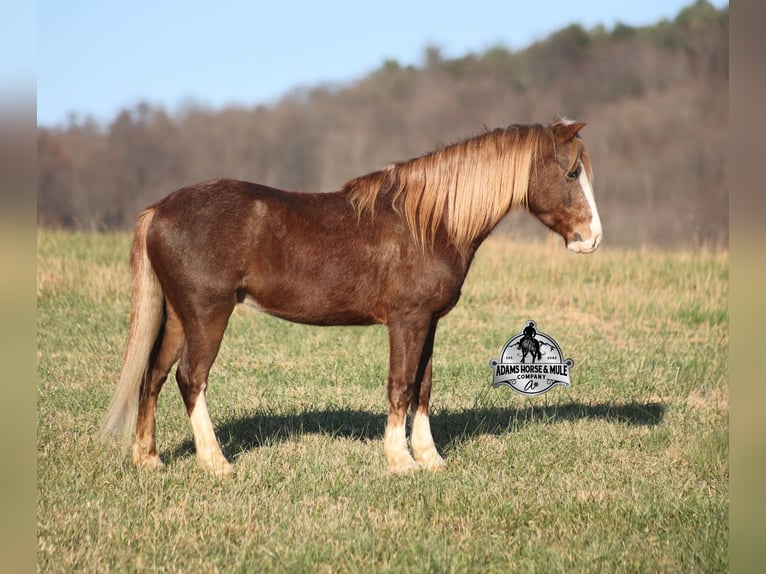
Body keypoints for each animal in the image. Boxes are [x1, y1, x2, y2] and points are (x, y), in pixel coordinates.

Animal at [100, 118, 602, 476]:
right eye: (572, 172)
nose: (591, 238)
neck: (430, 221)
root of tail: (159, 209)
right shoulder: (406, 320)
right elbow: (400, 385)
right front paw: (400, 461)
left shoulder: (430, 321)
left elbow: (423, 386)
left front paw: (430, 458)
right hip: (208, 314)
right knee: (191, 378)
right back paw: (216, 462)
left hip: (178, 315)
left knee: (153, 375)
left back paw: (149, 458)